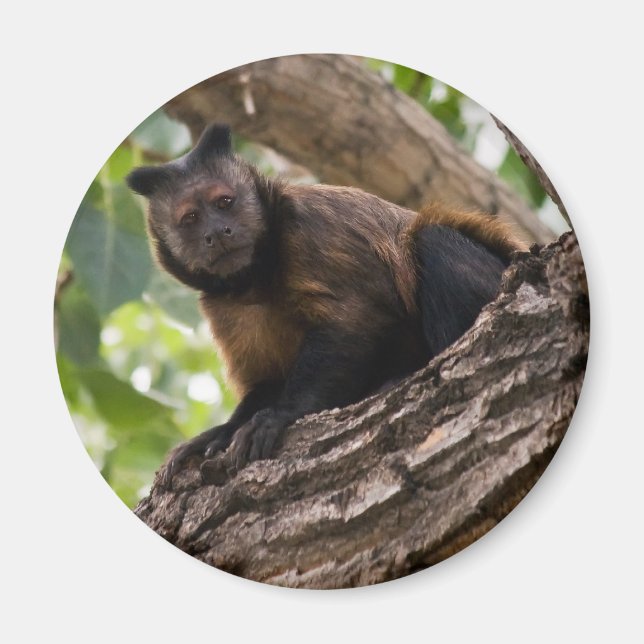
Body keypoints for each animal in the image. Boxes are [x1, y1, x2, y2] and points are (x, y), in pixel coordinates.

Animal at [126, 123, 526, 486]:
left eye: (224, 202)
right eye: (191, 219)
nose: (216, 233)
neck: (261, 275)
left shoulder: (310, 231)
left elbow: (354, 323)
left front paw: (281, 414)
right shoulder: (223, 309)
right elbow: (269, 378)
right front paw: (223, 431)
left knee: (433, 238)